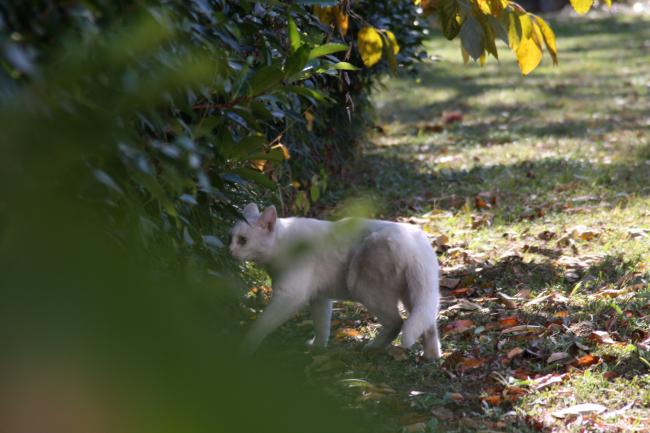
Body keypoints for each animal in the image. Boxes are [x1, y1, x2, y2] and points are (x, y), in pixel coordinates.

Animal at [229, 203, 440, 362]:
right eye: (230, 238)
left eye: (243, 240)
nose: (229, 251)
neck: (282, 245)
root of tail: (416, 244)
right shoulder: (319, 297)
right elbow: (322, 326)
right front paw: (317, 348)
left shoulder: (290, 295)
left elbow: (261, 324)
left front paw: (243, 348)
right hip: (413, 294)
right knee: (428, 325)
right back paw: (431, 357)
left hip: (363, 287)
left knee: (397, 322)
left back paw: (372, 347)